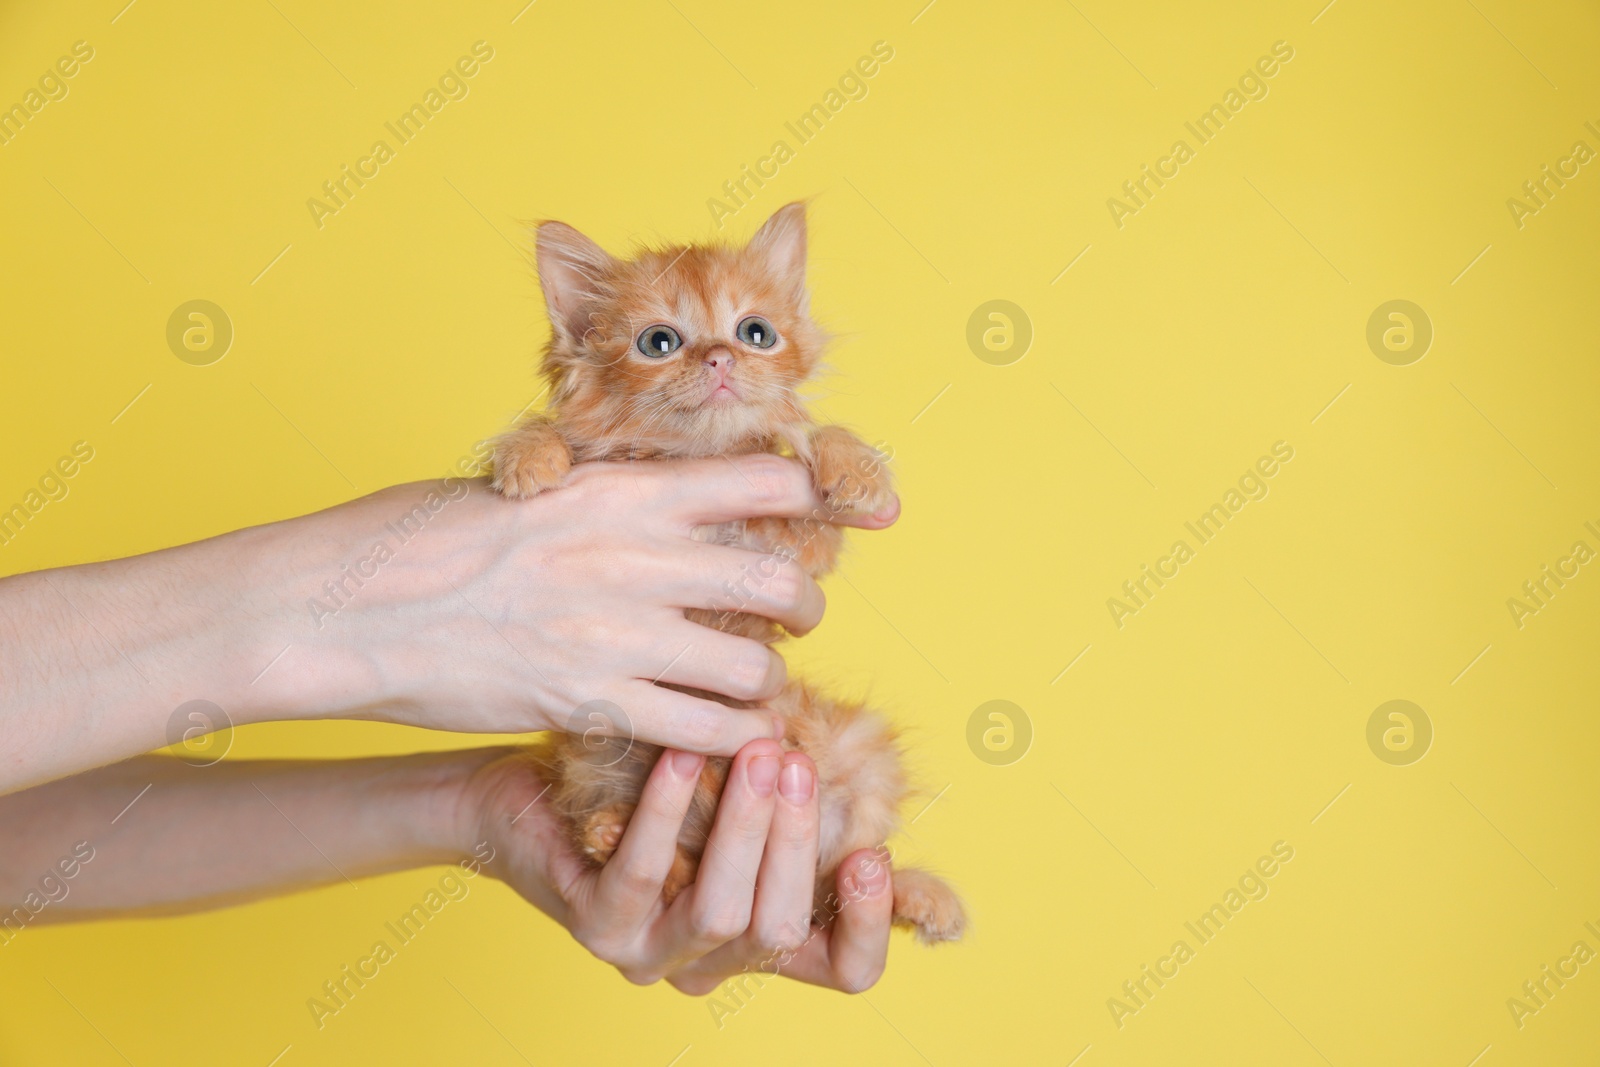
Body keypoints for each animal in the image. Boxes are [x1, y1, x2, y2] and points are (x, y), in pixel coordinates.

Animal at [492, 199, 953, 940]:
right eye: (658, 342)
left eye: (755, 333)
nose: (719, 356)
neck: (697, 458)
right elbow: (554, 431)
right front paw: (527, 453)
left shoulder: (796, 549)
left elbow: (813, 447)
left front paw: (855, 466)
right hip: (597, 756)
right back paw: (611, 833)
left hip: (857, 752)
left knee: (837, 883)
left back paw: (913, 893)